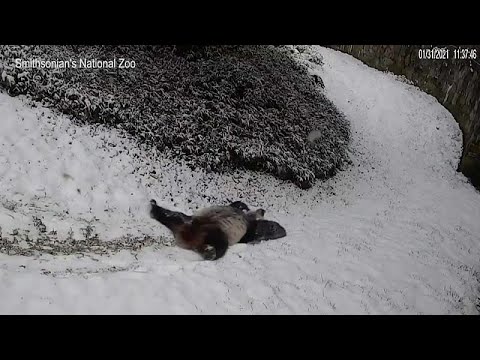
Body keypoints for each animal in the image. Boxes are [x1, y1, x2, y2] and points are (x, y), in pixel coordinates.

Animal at [149, 198, 284, 260]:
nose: (263, 211)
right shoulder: (248, 226)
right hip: (216, 230)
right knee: (221, 244)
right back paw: (212, 254)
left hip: (185, 222)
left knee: (171, 215)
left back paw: (153, 207)